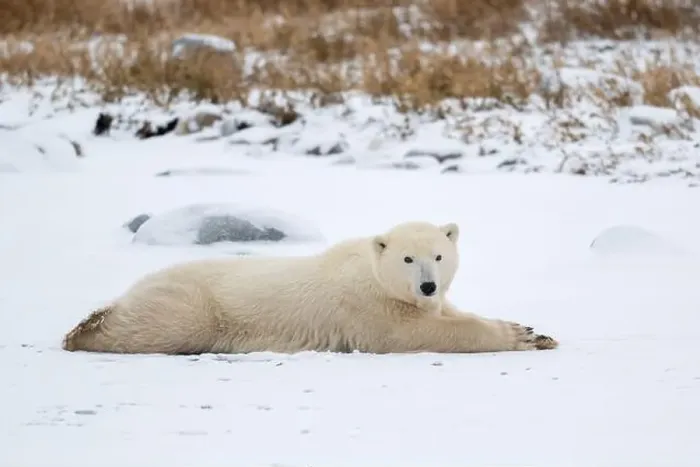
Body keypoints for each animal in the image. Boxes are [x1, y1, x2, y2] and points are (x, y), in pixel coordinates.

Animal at [62, 221, 558, 355]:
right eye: (407, 259)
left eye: (438, 256)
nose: (429, 287)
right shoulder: (369, 310)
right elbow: (417, 333)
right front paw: (516, 337)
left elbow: (450, 315)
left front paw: (536, 332)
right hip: (193, 305)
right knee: (153, 325)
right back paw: (86, 329)